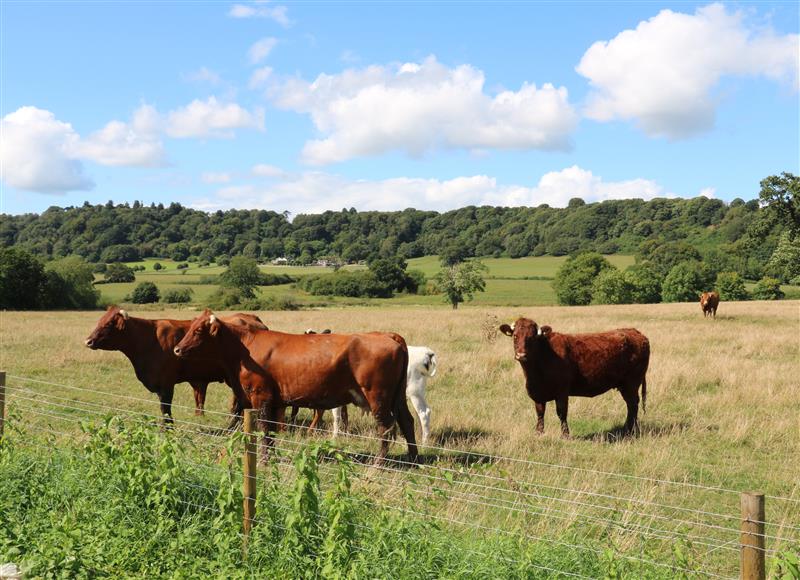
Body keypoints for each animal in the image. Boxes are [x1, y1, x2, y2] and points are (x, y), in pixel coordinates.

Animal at [84, 308, 268, 426]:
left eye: (108, 324)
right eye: (100, 321)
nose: (88, 341)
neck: (147, 339)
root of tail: (252, 318)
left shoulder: (166, 383)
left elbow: (165, 408)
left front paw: (168, 428)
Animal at [171, 310, 416, 464]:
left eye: (198, 331)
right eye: (190, 328)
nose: (177, 349)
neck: (244, 349)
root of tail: (386, 335)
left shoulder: (260, 396)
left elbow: (264, 429)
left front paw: (264, 460)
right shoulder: (273, 400)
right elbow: (271, 430)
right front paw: (271, 456)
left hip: (378, 397)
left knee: (386, 428)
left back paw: (379, 463)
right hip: (396, 397)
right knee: (407, 421)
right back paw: (413, 459)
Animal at [500, 320, 648, 438]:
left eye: (531, 338)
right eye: (515, 336)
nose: (521, 355)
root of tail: (636, 332)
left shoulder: (562, 392)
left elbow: (561, 413)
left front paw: (565, 435)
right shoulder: (538, 394)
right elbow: (540, 413)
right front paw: (539, 433)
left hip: (632, 383)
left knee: (633, 404)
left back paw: (631, 430)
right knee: (630, 405)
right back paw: (626, 428)